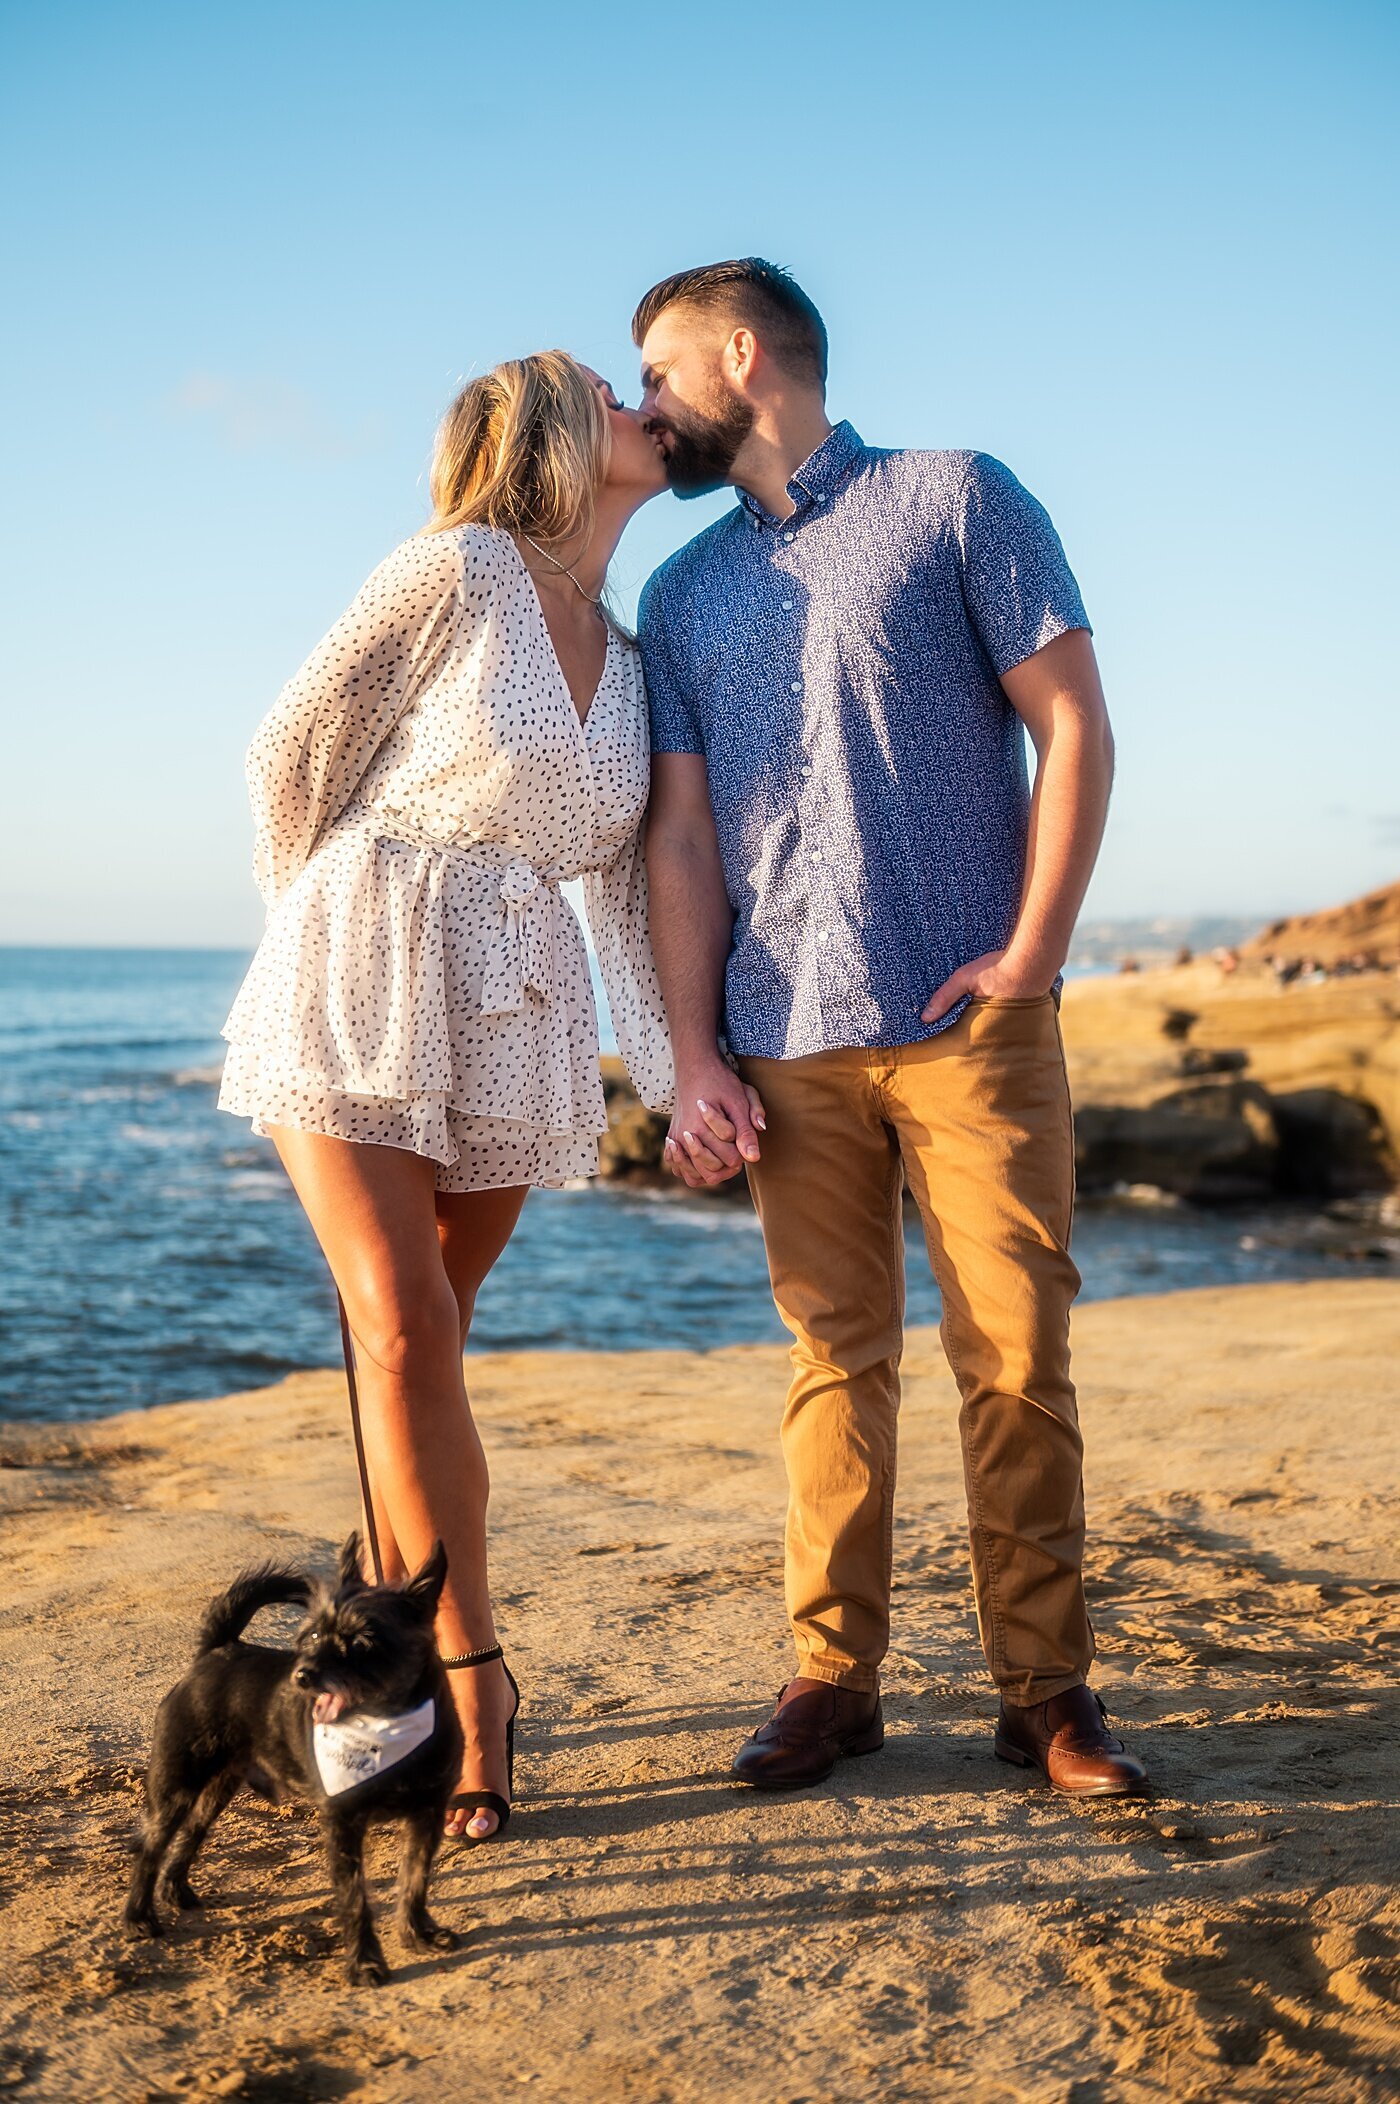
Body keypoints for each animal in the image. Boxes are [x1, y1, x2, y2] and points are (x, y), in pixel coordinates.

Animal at [122, 1540, 461, 1977]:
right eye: (314, 1633)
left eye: (363, 1641)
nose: (302, 1675)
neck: (387, 1723)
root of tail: (218, 1650)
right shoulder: (343, 1824)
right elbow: (355, 1899)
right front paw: (365, 1963)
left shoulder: (427, 1816)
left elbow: (415, 1880)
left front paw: (417, 1935)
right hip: (176, 1787)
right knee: (149, 1847)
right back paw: (138, 1917)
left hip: (218, 1788)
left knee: (193, 1831)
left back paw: (176, 1890)